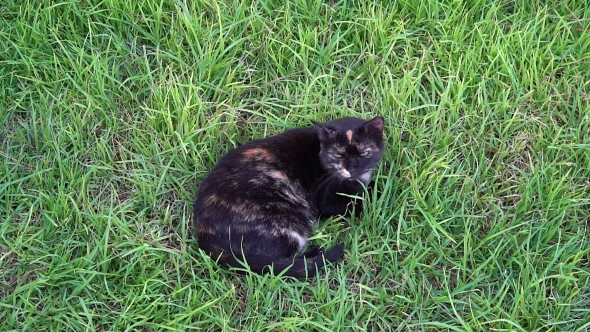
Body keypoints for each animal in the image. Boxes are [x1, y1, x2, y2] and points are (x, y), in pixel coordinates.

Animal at [194, 116, 386, 278]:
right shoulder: (326, 199)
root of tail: (204, 236)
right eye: (339, 155)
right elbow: (360, 201)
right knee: (283, 264)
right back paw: (316, 253)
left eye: (363, 153)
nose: (352, 169)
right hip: (289, 221)